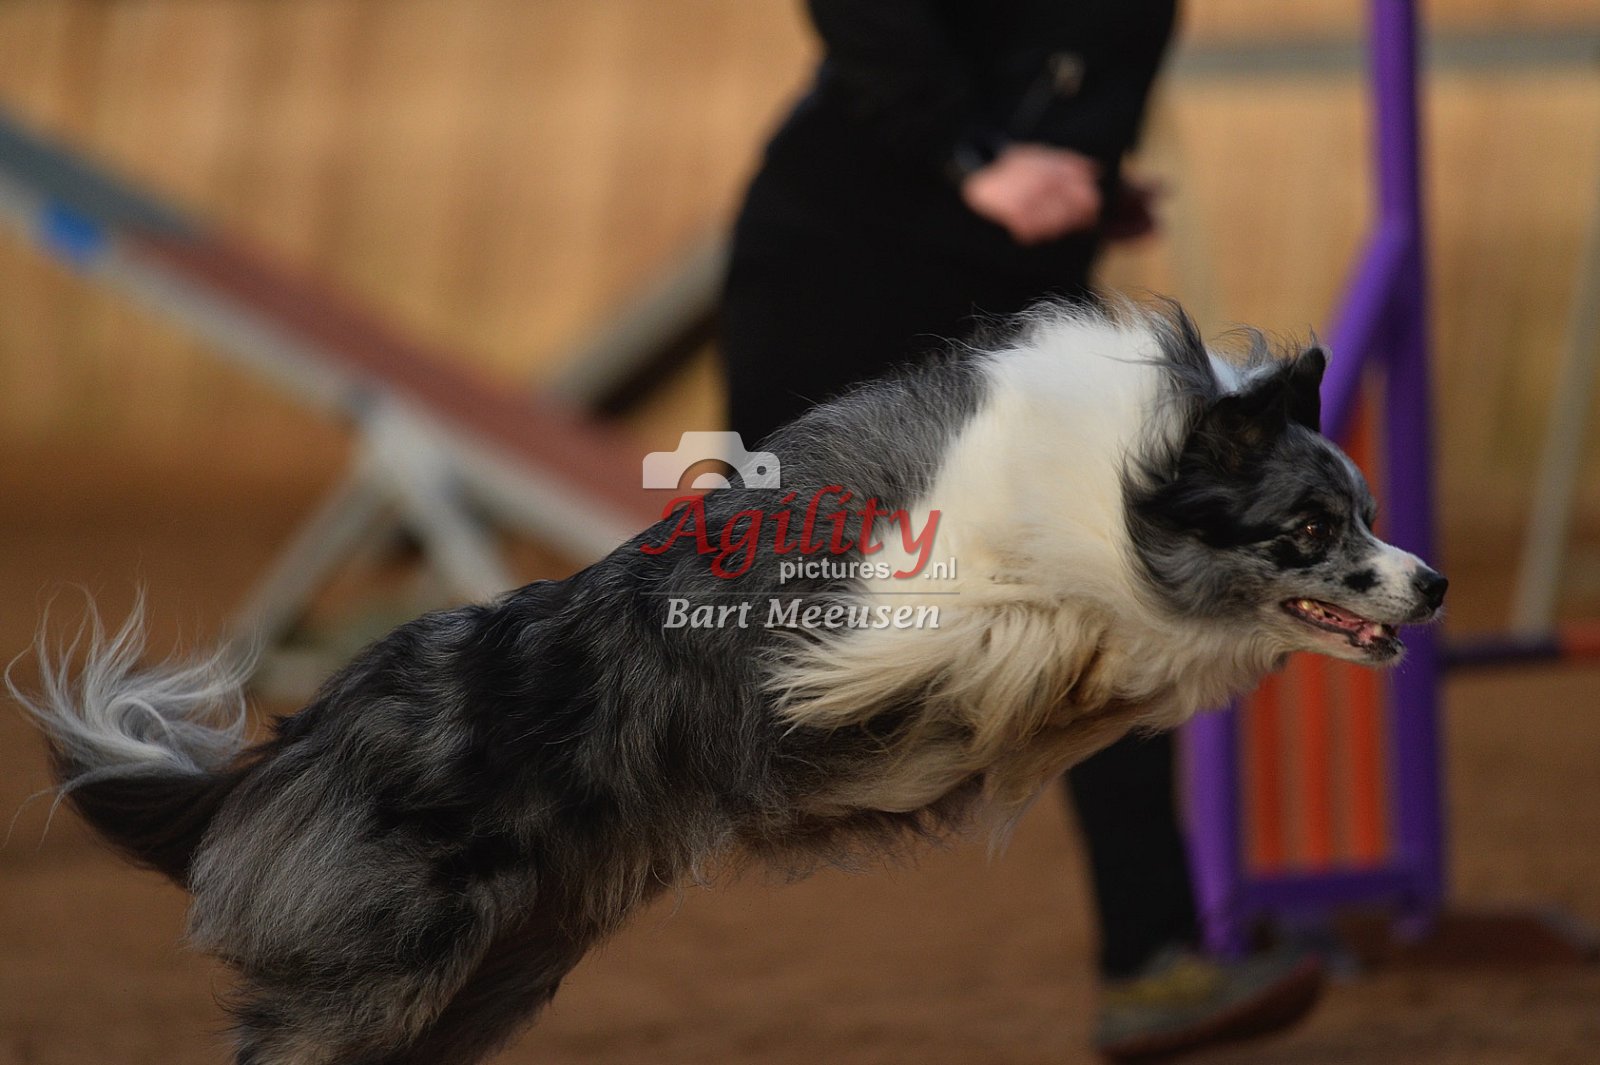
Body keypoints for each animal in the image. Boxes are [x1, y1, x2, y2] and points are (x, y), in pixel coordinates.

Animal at [14, 300, 1445, 1065]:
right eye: (1310, 528)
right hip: (402, 958)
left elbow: (1089, 679)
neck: (1129, 487)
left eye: (1370, 513)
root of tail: (301, 741)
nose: (1430, 586)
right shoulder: (886, 609)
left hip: (498, 965)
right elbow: (982, 627)